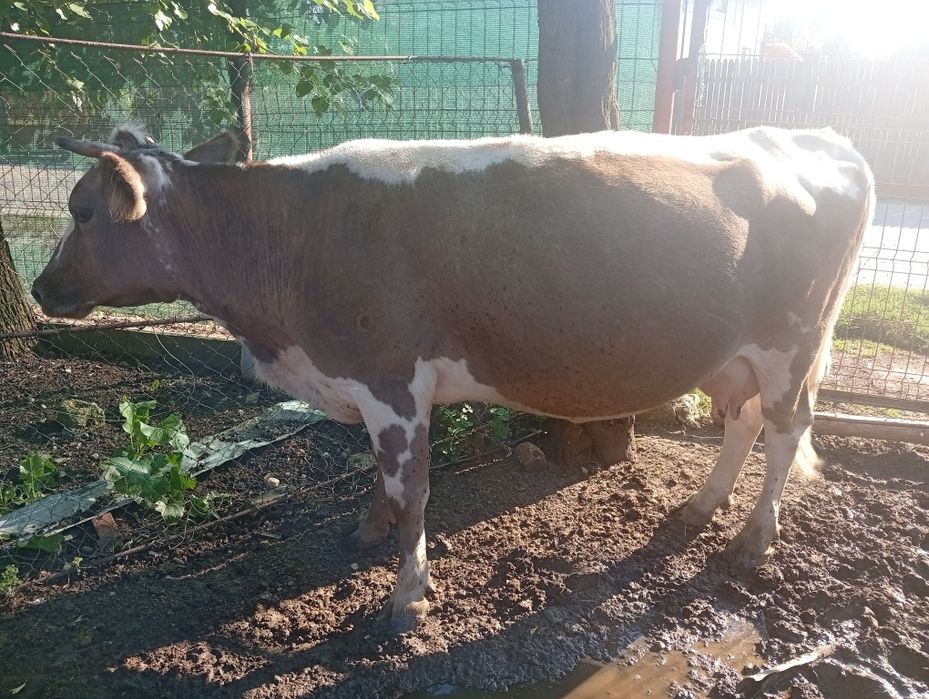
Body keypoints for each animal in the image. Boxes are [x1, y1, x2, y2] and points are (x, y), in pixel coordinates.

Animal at [32, 124, 874, 633]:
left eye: (83, 209)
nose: (41, 288)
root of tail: (813, 136)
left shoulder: (391, 381)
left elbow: (412, 490)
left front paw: (407, 594)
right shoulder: (371, 384)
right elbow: (378, 478)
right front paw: (365, 529)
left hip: (793, 342)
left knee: (783, 431)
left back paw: (750, 540)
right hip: (739, 351)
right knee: (742, 419)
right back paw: (699, 506)